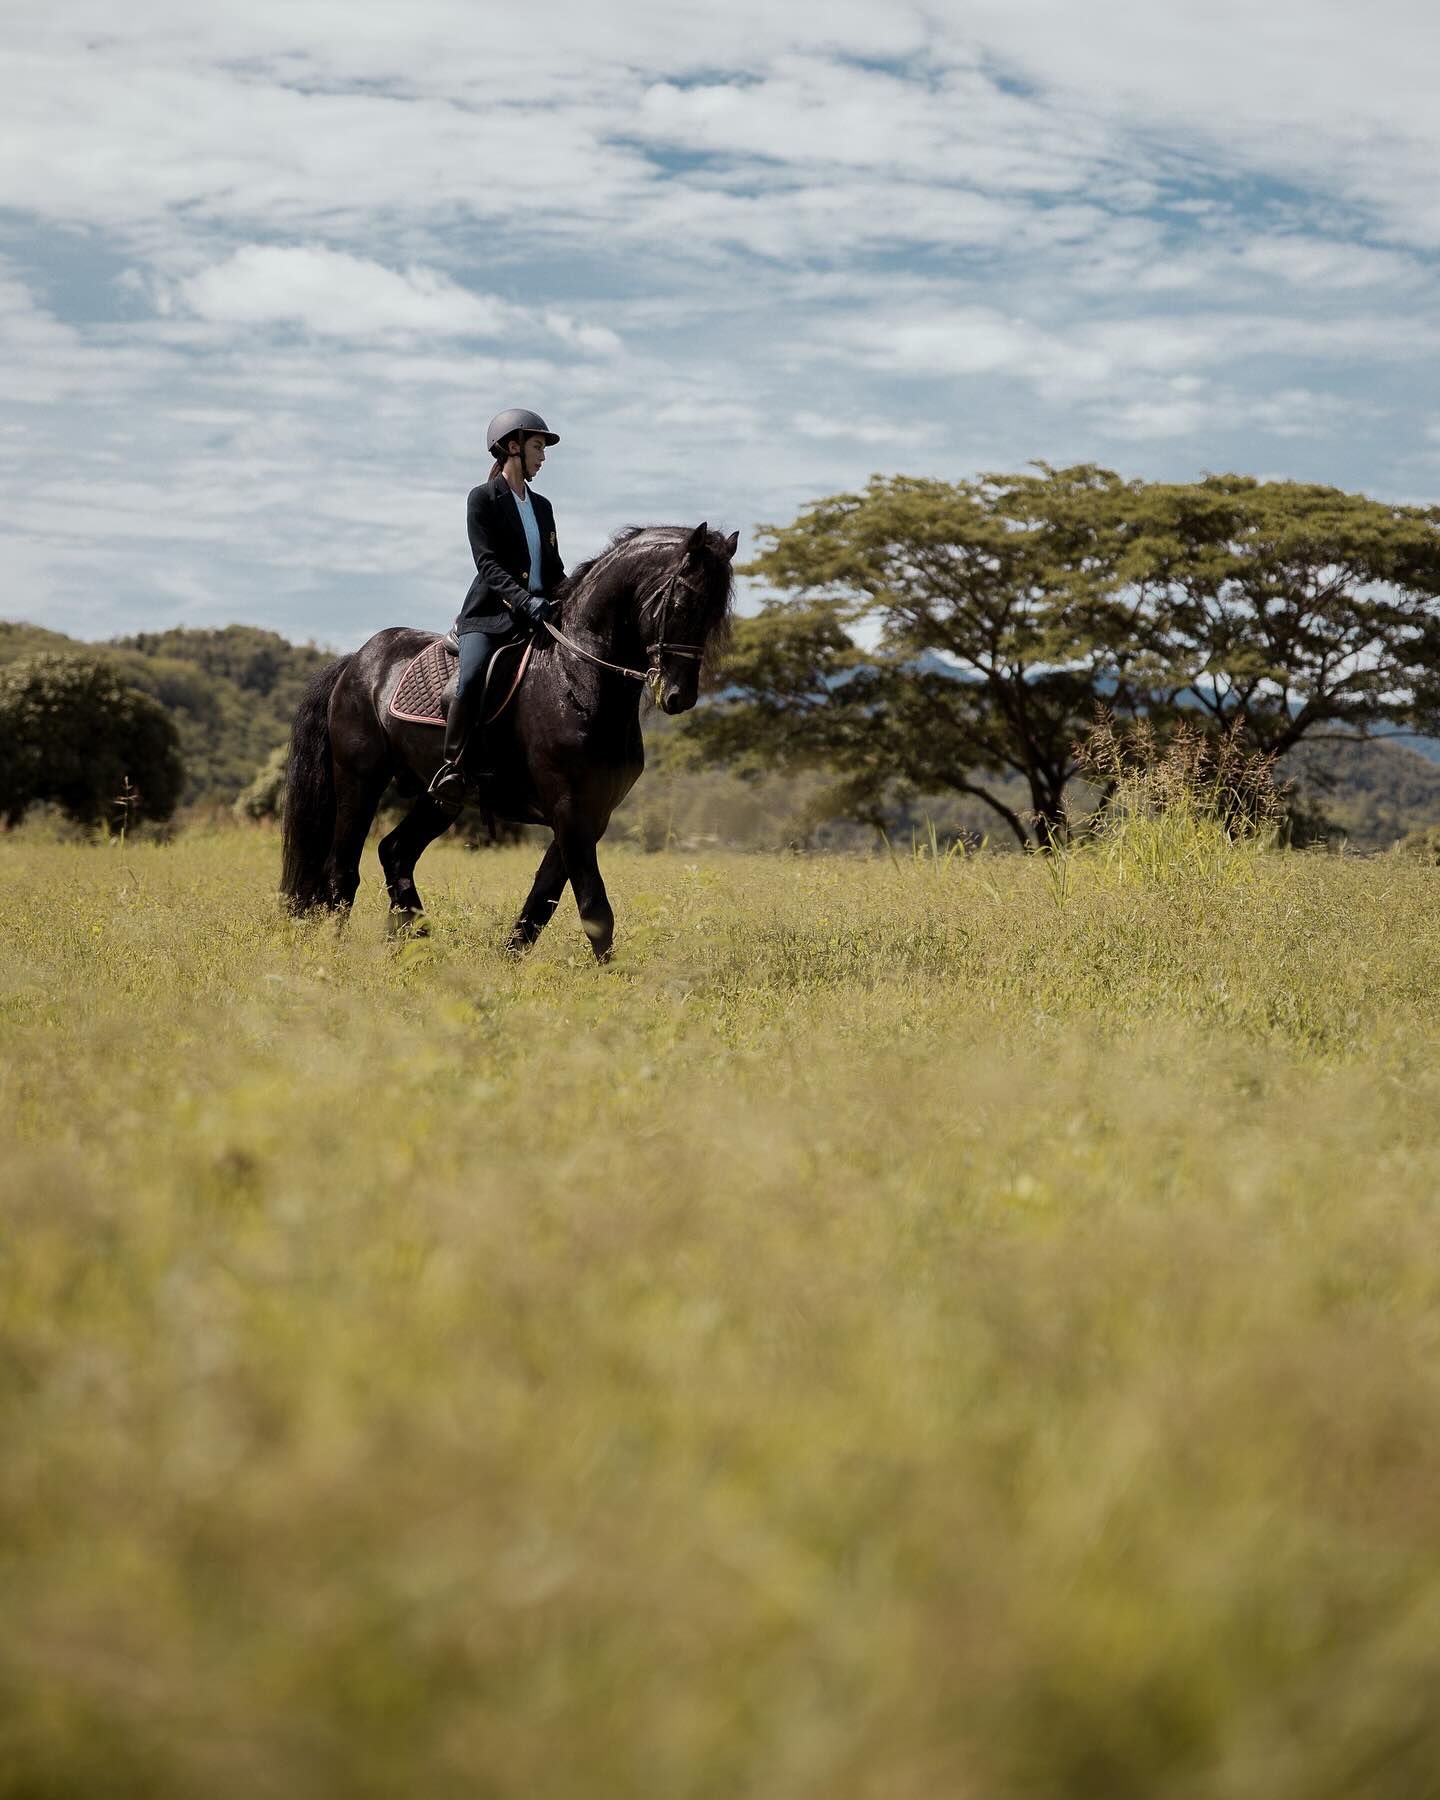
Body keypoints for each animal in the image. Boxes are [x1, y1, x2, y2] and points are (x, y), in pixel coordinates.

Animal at [279, 525, 738, 957]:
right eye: (681, 605)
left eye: (715, 615)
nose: (679, 697)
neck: (577, 677)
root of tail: (355, 660)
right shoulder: (569, 807)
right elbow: (593, 904)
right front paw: (615, 977)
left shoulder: (592, 812)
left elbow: (544, 898)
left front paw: (510, 960)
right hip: (360, 779)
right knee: (342, 869)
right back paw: (339, 951)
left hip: (438, 797)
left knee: (395, 852)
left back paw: (418, 943)